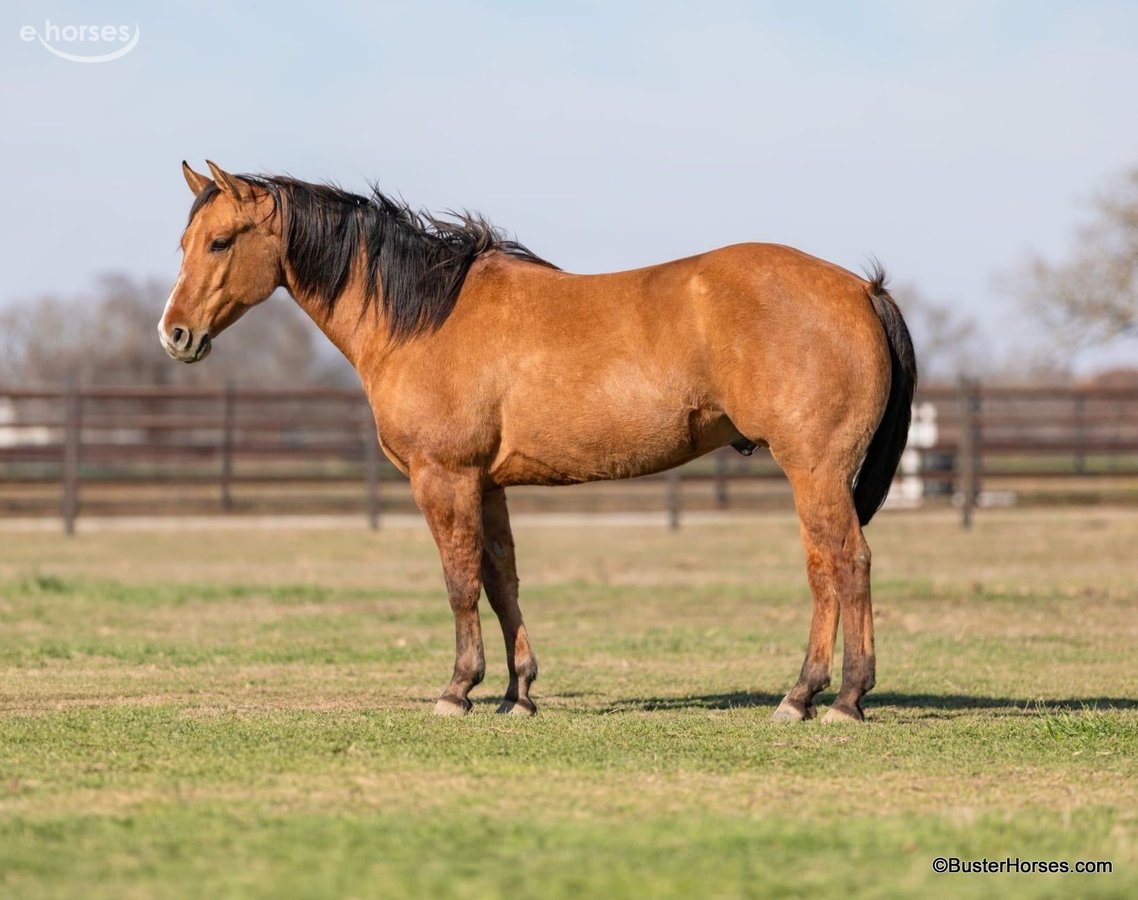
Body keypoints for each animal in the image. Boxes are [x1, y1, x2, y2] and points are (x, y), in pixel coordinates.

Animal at [160, 161, 916, 723]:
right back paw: (810, 694)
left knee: (846, 565)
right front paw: (516, 693)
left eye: (220, 243)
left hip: (815, 469)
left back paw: (838, 698)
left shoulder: (444, 478)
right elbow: (501, 582)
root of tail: (862, 288)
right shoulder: (487, 483)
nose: (175, 335)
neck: (425, 315)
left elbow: (459, 581)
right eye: (184, 244)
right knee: (826, 569)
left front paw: (458, 689)